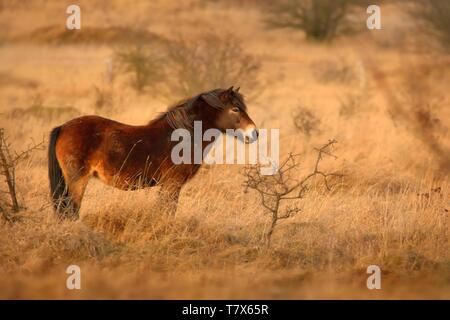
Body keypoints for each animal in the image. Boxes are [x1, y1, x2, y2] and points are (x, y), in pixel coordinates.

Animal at [47, 86, 258, 219]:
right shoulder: (172, 185)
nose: (254, 133)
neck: (182, 136)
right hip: (77, 180)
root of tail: (63, 127)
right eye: (235, 109)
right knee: (71, 211)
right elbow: (167, 213)